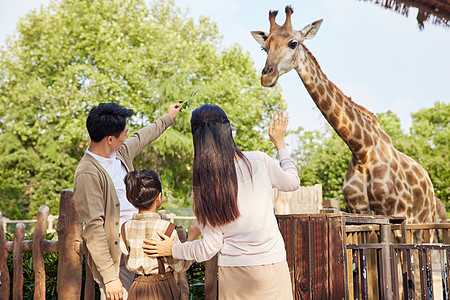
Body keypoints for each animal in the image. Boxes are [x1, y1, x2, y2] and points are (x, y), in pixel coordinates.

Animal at [250, 5, 436, 227]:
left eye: (293, 43)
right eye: (264, 47)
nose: (267, 76)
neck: (362, 150)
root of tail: (428, 181)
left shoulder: (396, 213)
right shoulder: (358, 211)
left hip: (422, 221)